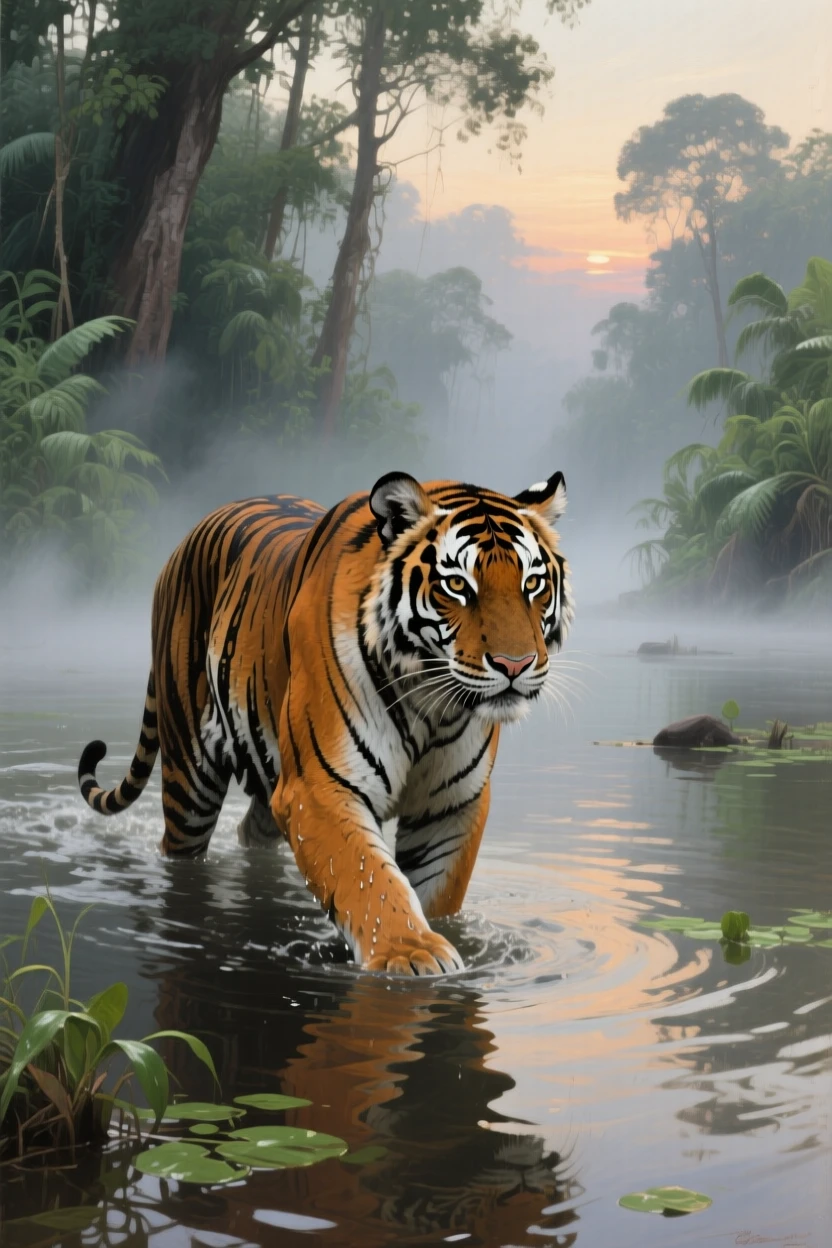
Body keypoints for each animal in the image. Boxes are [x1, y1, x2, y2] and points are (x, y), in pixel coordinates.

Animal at [77, 470, 572, 975]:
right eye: (456, 585)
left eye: (533, 583)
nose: (515, 665)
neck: (433, 704)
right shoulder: (320, 788)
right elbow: (369, 880)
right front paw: (411, 954)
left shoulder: (452, 804)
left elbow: (434, 890)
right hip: (189, 779)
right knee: (180, 851)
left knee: (251, 830)